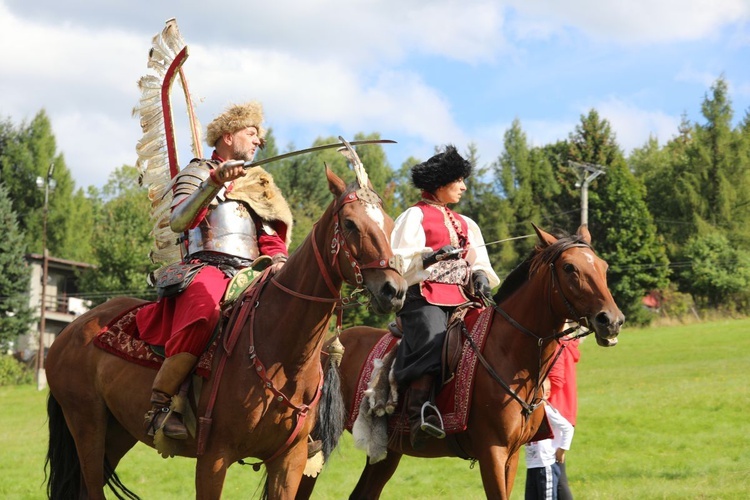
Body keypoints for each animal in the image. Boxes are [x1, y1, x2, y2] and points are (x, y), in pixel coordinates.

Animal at [44, 162, 408, 498]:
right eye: (350, 224)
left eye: (391, 225)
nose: (395, 290)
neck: (282, 353)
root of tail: (71, 331)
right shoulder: (214, 459)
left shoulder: (289, 462)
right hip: (87, 425)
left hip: (118, 431)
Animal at [302, 224, 624, 500]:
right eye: (570, 268)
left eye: (603, 267)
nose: (611, 320)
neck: (509, 352)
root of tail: (330, 345)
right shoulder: (493, 452)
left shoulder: (512, 455)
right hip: (312, 444)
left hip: (386, 449)